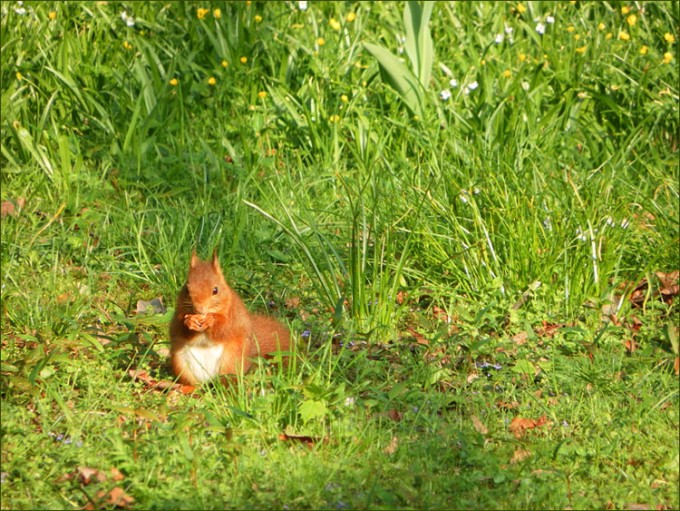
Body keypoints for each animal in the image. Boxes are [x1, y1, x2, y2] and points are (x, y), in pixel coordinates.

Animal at [169, 250, 291, 386]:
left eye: (215, 290)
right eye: (186, 289)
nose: (199, 309)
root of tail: (209, 380)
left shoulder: (233, 316)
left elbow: (223, 329)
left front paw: (211, 321)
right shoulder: (178, 313)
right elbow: (179, 329)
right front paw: (190, 321)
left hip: (232, 361)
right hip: (180, 363)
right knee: (193, 383)